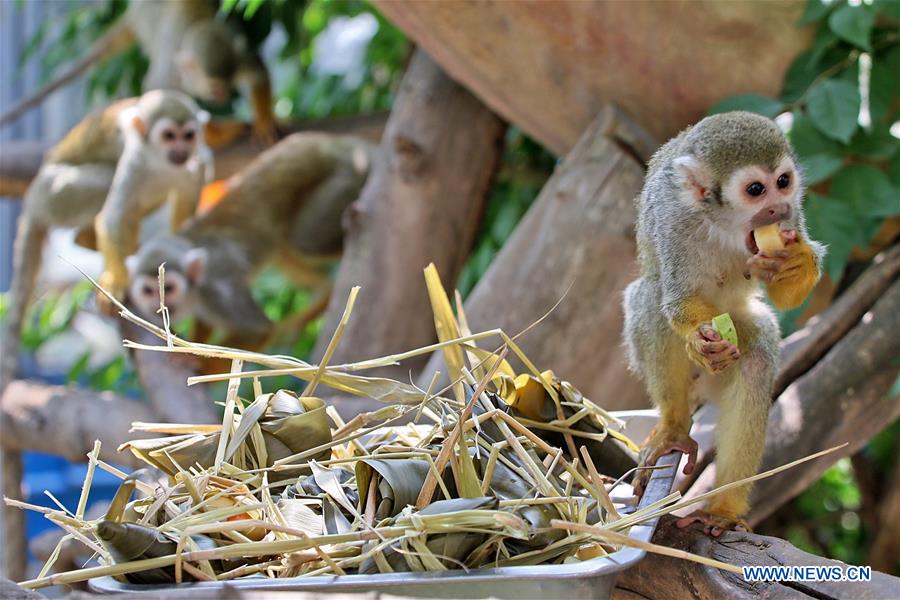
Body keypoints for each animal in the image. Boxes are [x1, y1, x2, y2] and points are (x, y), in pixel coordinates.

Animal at [0, 89, 212, 390]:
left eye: (188, 136)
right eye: (169, 136)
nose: (181, 151)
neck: (161, 164)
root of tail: (32, 199)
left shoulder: (198, 164)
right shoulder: (135, 162)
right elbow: (113, 219)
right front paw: (117, 282)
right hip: (55, 194)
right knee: (107, 180)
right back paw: (91, 239)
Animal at [128, 130, 374, 352]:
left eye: (168, 288)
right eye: (147, 291)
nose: (156, 306)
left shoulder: (216, 287)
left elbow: (258, 330)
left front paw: (195, 360)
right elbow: (206, 322)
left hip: (345, 178)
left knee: (305, 241)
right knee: (285, 249)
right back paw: (325, 292)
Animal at [624, 111, 828, 536]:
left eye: (784, 182)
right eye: (756, 189)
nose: (776, 210)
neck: (725, 225)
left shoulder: (795, 214)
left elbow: (786, 298)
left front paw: (797, 264)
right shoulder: (673, 217)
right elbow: (676, 300)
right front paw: (701, 341)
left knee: (758, 352)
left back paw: (721, 510)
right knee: (651, 299)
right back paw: (674, 425)